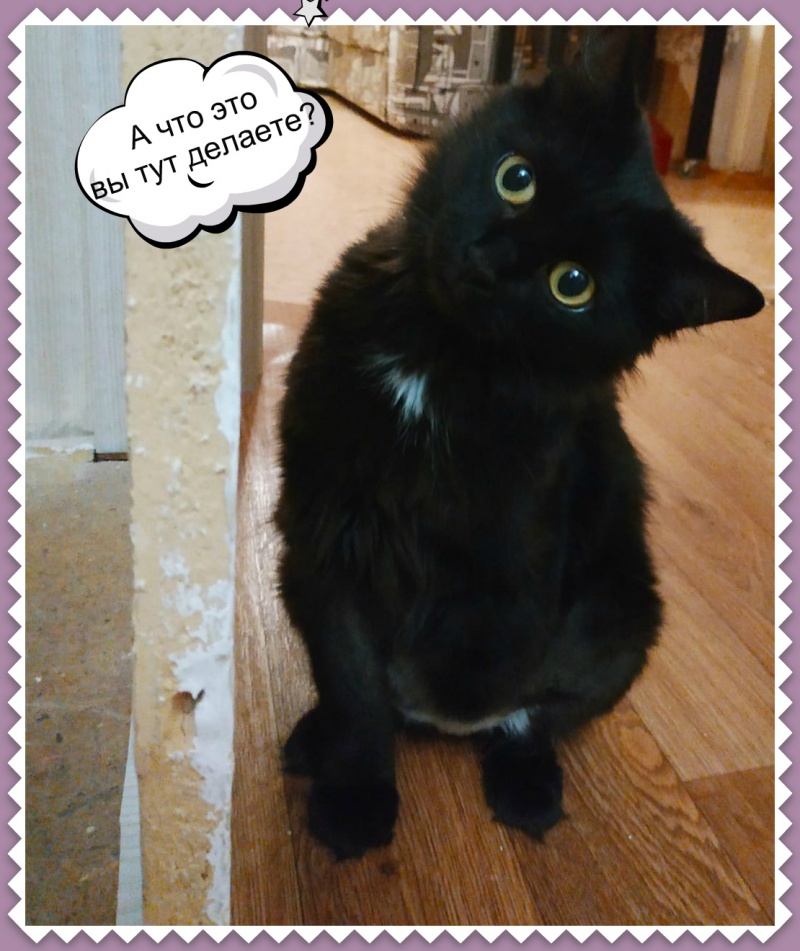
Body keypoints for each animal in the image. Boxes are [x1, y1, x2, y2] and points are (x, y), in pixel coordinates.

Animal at [274, 28, 765, 860]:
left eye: (574, 284)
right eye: (518, 178)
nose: (486, 258)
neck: (434, 361)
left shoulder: (509, 555)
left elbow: (485, 676)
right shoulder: (327, 532)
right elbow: (355, 678)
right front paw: (356, 789)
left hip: (623, 615)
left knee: (541, 714)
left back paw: (524, 781)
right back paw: (317, 736)